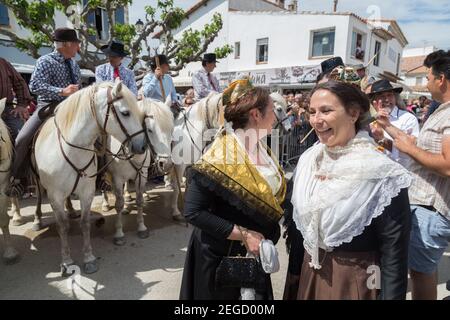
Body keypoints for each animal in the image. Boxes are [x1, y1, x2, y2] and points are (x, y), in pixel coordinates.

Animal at [33, 81, 146, 274]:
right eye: (125, 112)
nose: (143, 146)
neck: (72, 149)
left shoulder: (87, 191)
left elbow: (85, 223)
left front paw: (89, 258)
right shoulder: (55, 195)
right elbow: (62, 226)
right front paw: (67, 261)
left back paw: (71, 210)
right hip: (40, 182)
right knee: (40, 195)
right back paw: (37, 219)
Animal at [102, 97, 174, 245]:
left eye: (171, 128)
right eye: (150, 130)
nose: (166, 164)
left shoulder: (141, 175)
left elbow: (139, 200)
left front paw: (141, 227)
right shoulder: (117, 178)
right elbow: (118, 204)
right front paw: (119, 233)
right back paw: (104, 204)